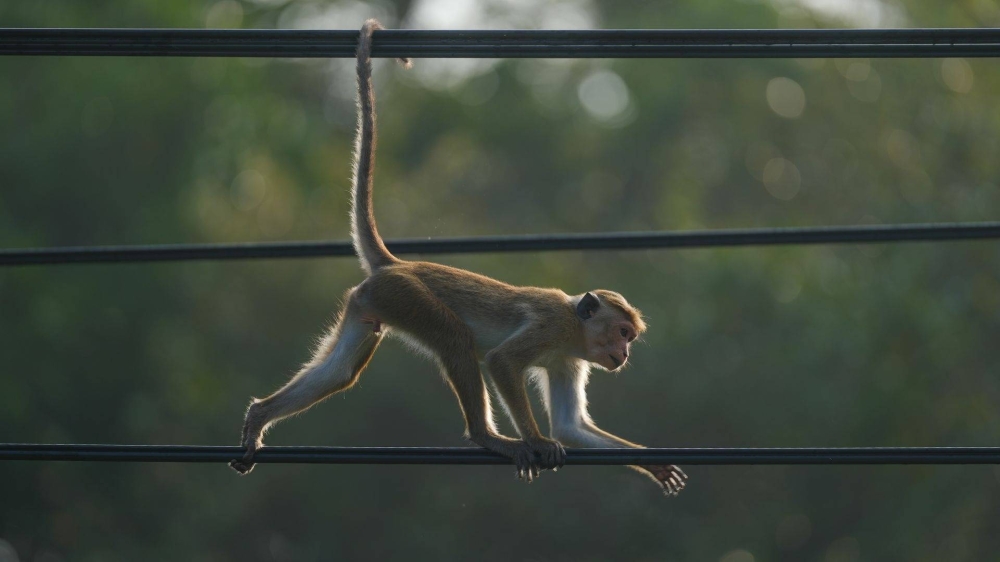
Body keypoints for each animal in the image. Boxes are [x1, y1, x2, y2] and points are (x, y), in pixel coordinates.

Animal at [229, 18, 688, 494]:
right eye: (622, 332)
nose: (625, 353)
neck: (575, 328)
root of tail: (397, 264)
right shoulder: (552, 329)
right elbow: (503, 363)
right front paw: (537, 441)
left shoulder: (569, 359)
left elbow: (571, 426)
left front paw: (652, 462)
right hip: (407, 296)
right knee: (454, 339)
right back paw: (488, 437)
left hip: (373, 301)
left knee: (340, 373)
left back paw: (259, 416)